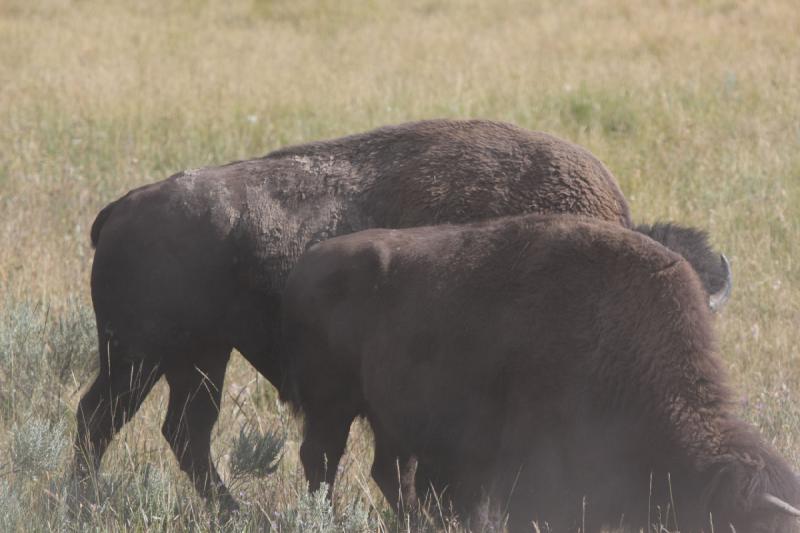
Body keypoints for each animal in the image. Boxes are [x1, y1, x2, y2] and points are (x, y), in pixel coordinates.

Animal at [75, 118, 732, 510]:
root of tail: (122, 207)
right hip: (137, 355)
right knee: (103, 418)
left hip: (199, 356)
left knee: (184, 429)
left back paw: (232, 511)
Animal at [280, 215, 792, 532]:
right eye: (745, 525)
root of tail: (307, 262)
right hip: (332, 405)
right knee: (321, 461)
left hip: (390, 418)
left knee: (388, 472)